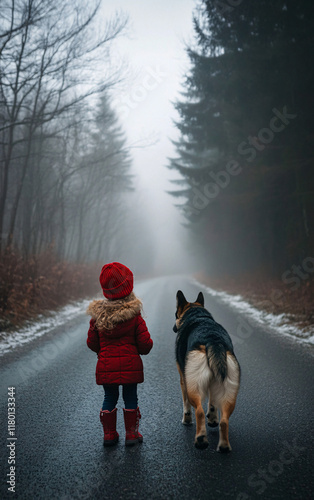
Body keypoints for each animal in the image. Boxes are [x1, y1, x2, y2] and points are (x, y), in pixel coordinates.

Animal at [174, 292, 240, 452]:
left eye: (175, 314)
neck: (197, 315)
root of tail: (213, 341)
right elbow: (212, 401)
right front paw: (213, 418)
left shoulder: (183, 380)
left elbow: (186, 404)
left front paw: (186, 419)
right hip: (229, 393)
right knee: (224, 421)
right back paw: (223, 446)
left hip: (193, 388)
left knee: (199, 412)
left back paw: (201, 440)